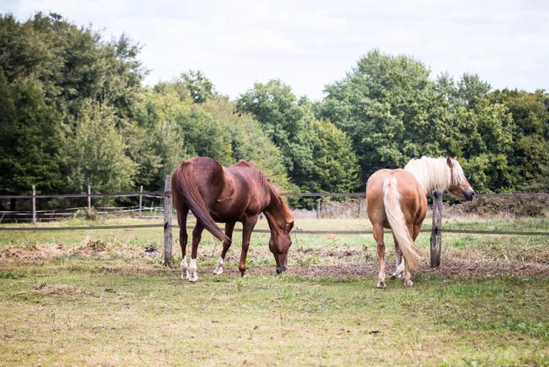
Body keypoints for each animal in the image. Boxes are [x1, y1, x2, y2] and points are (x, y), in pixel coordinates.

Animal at [364, 157, 476, 288]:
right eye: (458, 175)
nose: (471, 193)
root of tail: (390, 179)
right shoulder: (416, 225)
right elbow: (408, 248)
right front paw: (401, 273)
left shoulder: (395, 228)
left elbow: (398, 249)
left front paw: (397, 273)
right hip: (408, 225)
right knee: (407, 247)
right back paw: (407, 280)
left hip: (377, 225)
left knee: (381, 248)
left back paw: (381, 280)